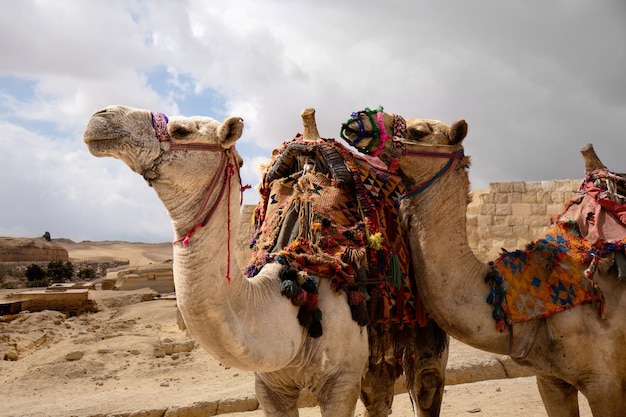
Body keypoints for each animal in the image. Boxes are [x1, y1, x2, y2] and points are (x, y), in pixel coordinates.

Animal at [83, 105, 446, 416]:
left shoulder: (340, 383)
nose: (100, 117)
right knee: (379, 395)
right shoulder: (269, 386)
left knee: (425, 382)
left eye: (181, 130)